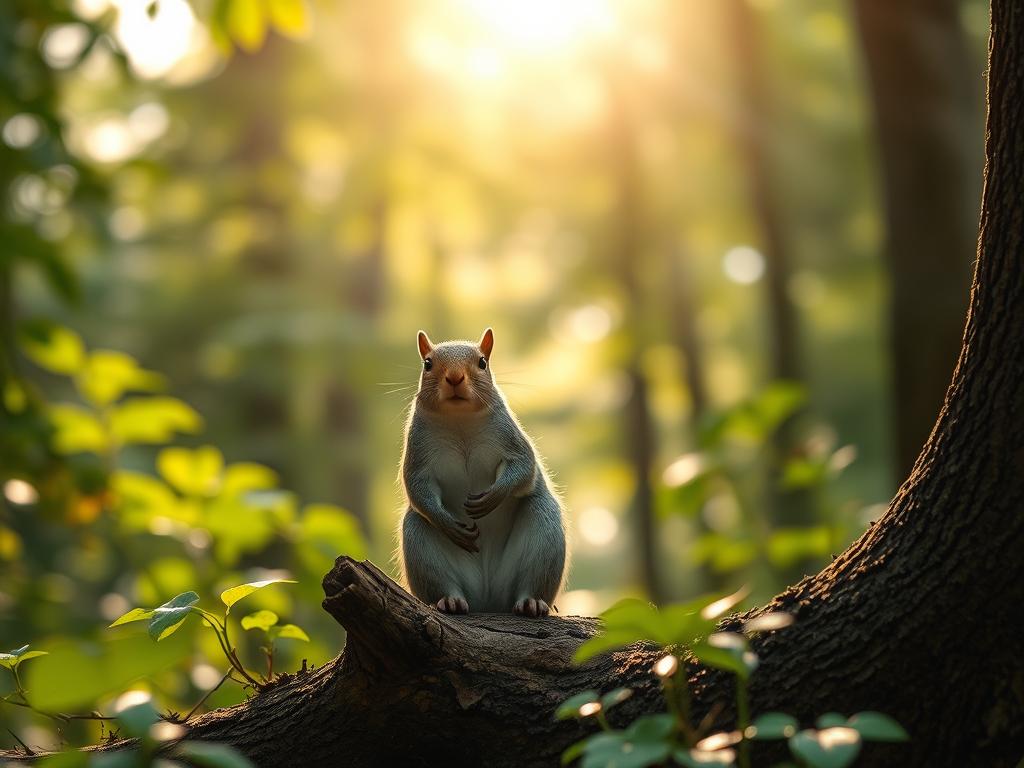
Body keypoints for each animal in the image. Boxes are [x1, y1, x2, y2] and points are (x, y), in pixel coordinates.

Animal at [398, 328, 567, 617]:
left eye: (482, 363)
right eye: (427, 364)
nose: (455, 377)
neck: (460, 421)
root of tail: (488, 599)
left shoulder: (510, 440)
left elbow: (525, 468)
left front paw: (493, 496)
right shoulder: (418, 454)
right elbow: (417, 487)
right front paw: (447, 523)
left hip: (544, 534)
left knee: (531, 577)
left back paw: (531, 601)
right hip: (420, 544)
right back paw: (449, 600)